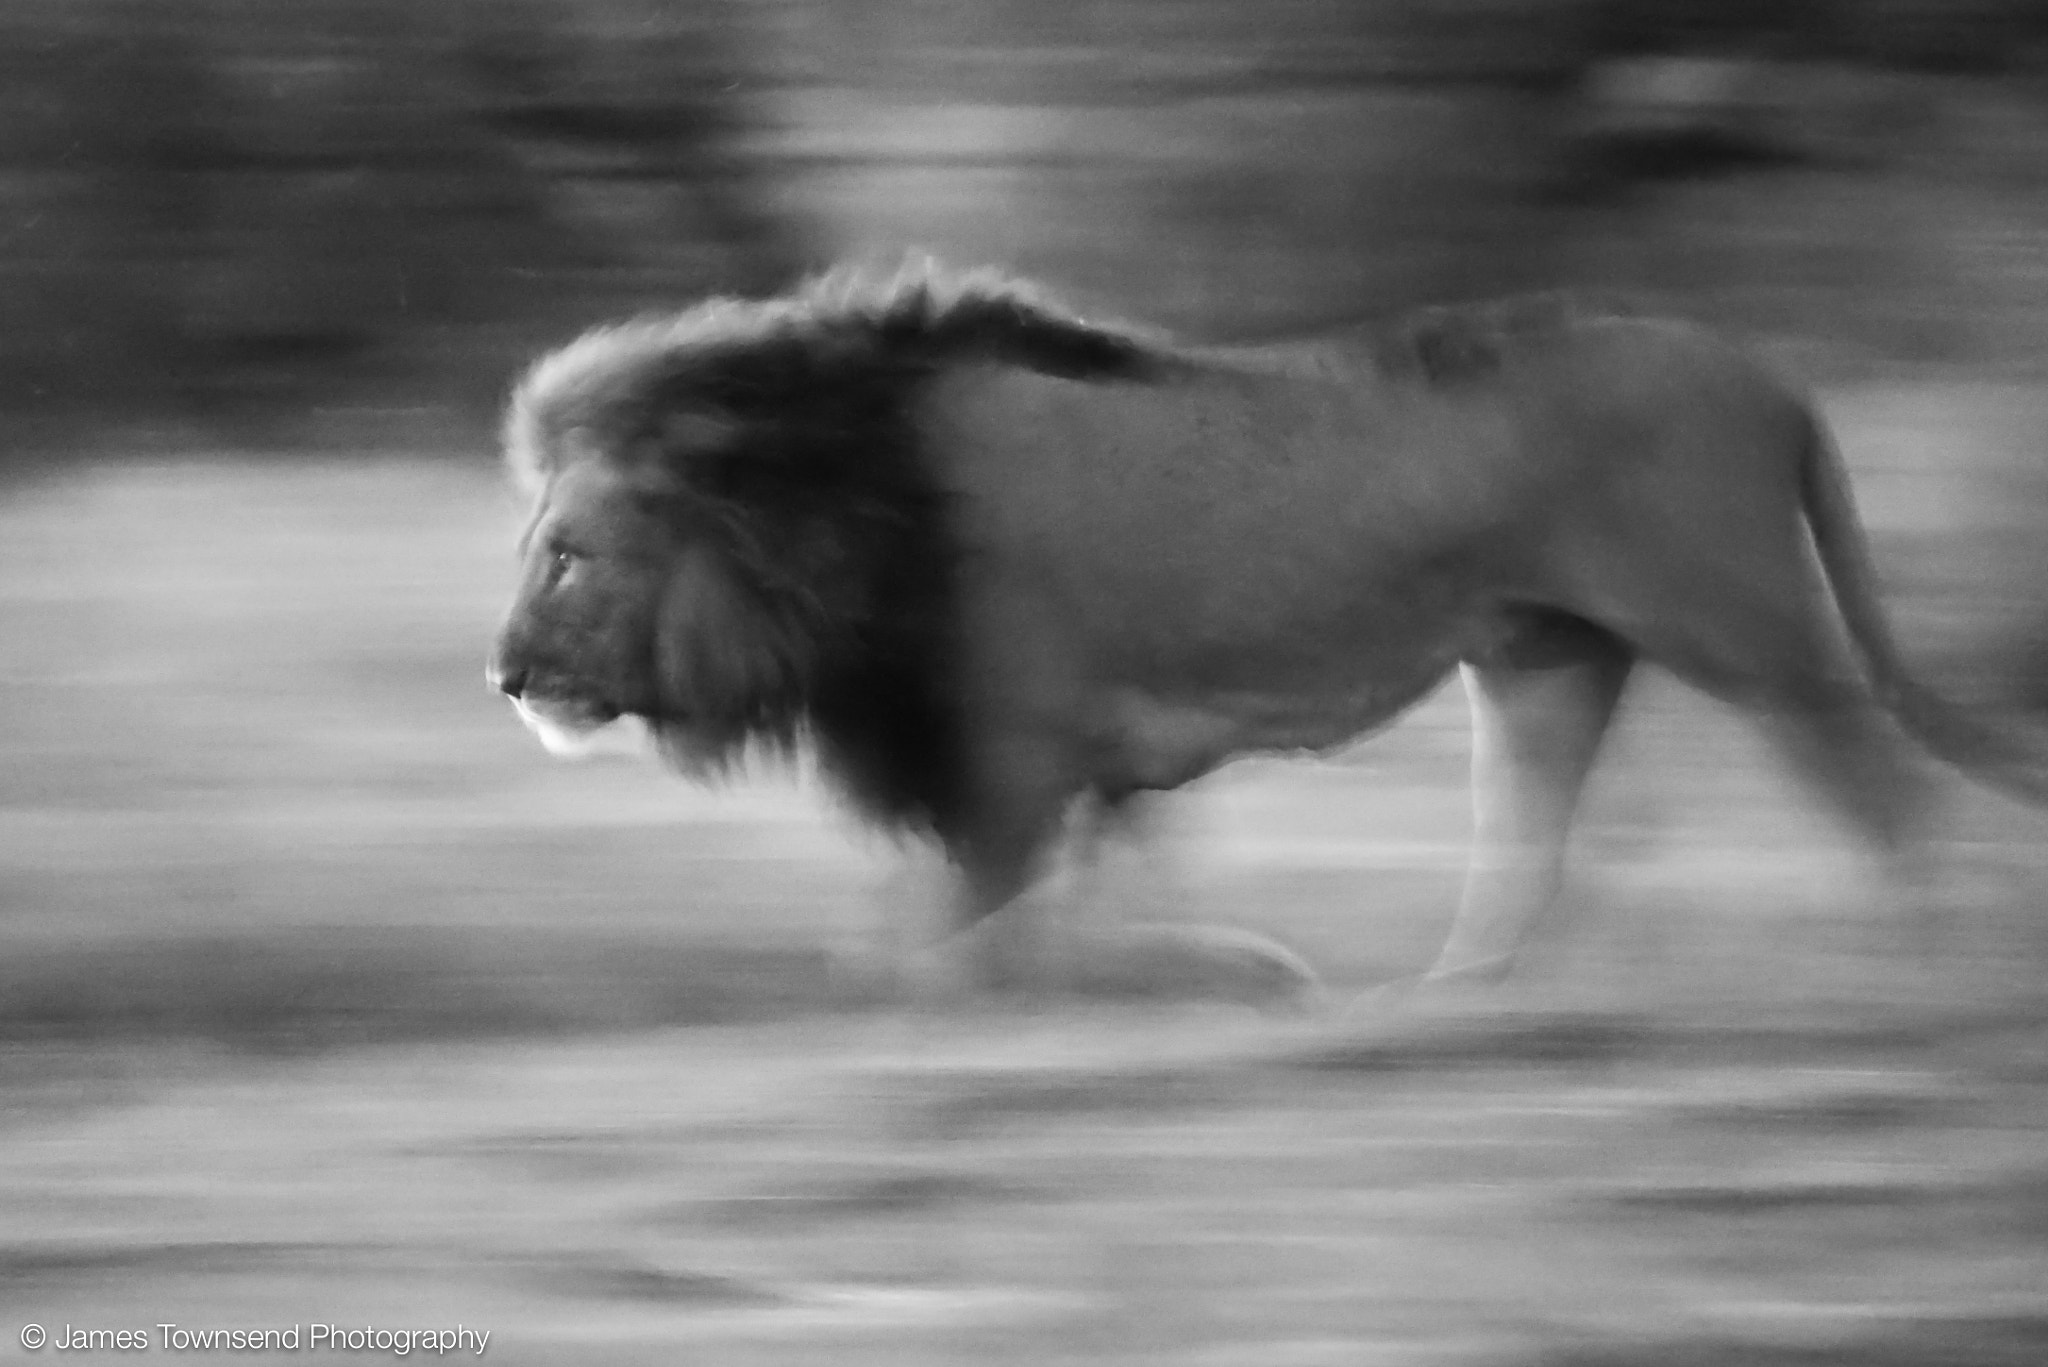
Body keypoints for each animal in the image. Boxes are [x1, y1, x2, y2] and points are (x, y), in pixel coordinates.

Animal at [486, 261, 2048, 1007]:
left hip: (1740, 625)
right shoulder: (1088, 772)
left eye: (566, 553)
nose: (500, 675)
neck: (840, 502)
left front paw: (1232, 976)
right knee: (1527, 851)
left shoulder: (1009, 765)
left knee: (1880, 792)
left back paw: (1906, 984)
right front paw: (1228, 974)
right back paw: (1435, 1008)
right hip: (1540, 660)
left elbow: (939, 957)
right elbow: (1063, 928)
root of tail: (1771, 373)